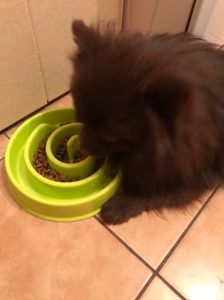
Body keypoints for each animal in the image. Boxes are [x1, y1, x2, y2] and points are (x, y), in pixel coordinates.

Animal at [71, 19, 224, 225]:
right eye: (81, 118)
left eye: (109, 136)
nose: (82, 149)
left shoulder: (197, 172)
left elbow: (159, 192)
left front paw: (120, 205)